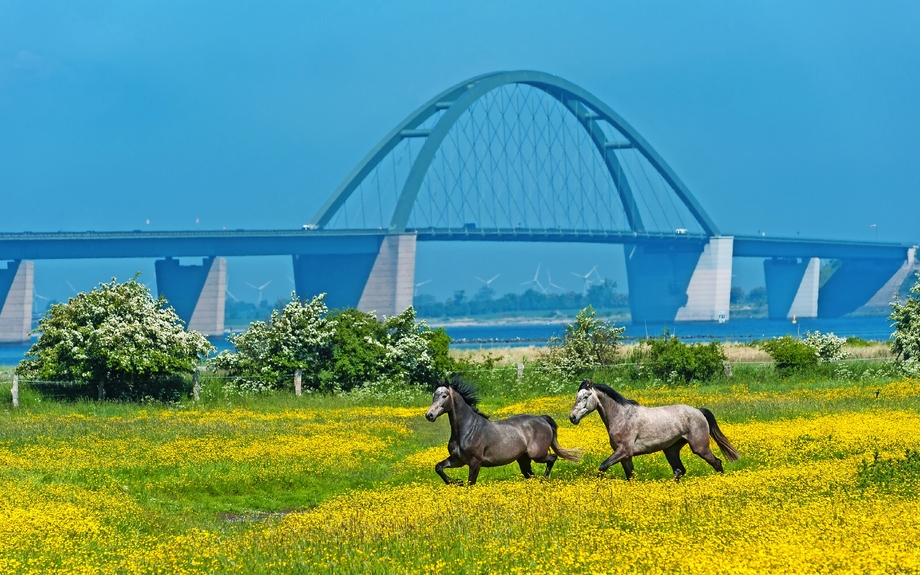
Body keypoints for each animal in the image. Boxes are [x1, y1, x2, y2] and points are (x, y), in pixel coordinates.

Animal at [426, 382, 584, 486]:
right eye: (434, 395)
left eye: (444, 396)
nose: (429, 415)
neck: (467, 430)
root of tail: (542, 419)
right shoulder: (457, 460)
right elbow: (439, 467)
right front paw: (455, 482)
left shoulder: (475, 462)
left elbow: (471, 483)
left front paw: (459, 483)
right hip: (523, 459)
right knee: (531, 474)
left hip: (537, 455)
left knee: (552, 458)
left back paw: (545, 479)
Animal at [568, 378, 740, 482]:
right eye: (577, 396)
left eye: (585, 396)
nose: (572, 417)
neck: (621, 416)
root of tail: (699, 411)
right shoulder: (625, 456)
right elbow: (630, 477)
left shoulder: (624, 451)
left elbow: (603, 467)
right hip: (671, 449)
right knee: (679, 470)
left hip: (700, 447)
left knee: (716, 463)